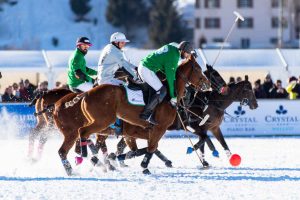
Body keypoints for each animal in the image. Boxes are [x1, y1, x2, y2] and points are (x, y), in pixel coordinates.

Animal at [61, 55, 209, 174]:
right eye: (197, 68)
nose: (207, 84)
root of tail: (86, 93)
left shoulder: (139, 133)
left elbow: (145, 149)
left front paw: (120, 157)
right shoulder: (158, 128)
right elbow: (151, 148)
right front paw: (144, 166)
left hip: (97, 123)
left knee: (84, 138)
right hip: (102, 121)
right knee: (82, 132)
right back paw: (86, 157)